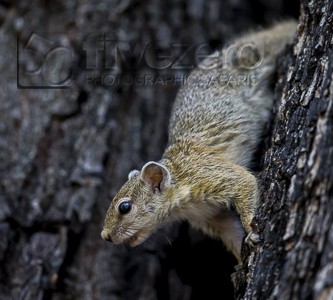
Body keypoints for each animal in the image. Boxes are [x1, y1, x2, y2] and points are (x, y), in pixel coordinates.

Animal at [100, 21, 296, 262]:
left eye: (125, 207)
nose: (105, 236)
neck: (178, 181)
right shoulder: (210, 216)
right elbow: (230, 232)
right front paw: (241, 258)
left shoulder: (209, 174)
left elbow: (245, 183)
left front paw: (251, 229)